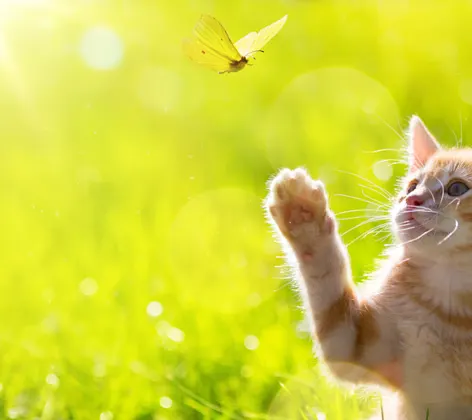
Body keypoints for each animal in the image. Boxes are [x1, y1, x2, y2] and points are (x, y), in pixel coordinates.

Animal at [266, 115, 472, 420]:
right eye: (412, 186)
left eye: (457, 188)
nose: (411, 200)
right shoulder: (353, 345)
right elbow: (327, 288)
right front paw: (303, 216)